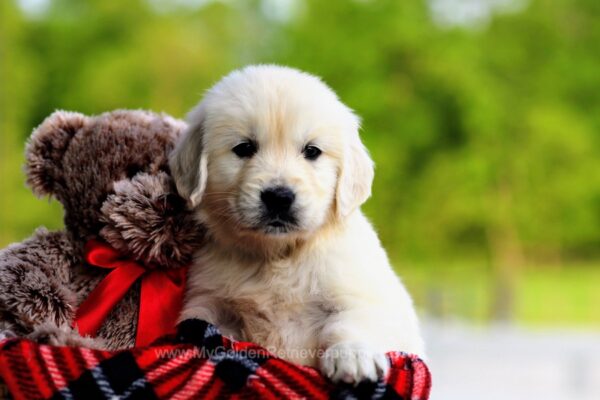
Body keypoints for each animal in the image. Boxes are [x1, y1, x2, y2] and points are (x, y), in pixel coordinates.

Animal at [169, 64, 424, 382]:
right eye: (244, 148)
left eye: (312, 151)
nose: (279, 197)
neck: (277, 256)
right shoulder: (207, 297)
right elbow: (199, 319)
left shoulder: (366, 295)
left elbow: (351, 321)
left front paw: (353, 357)